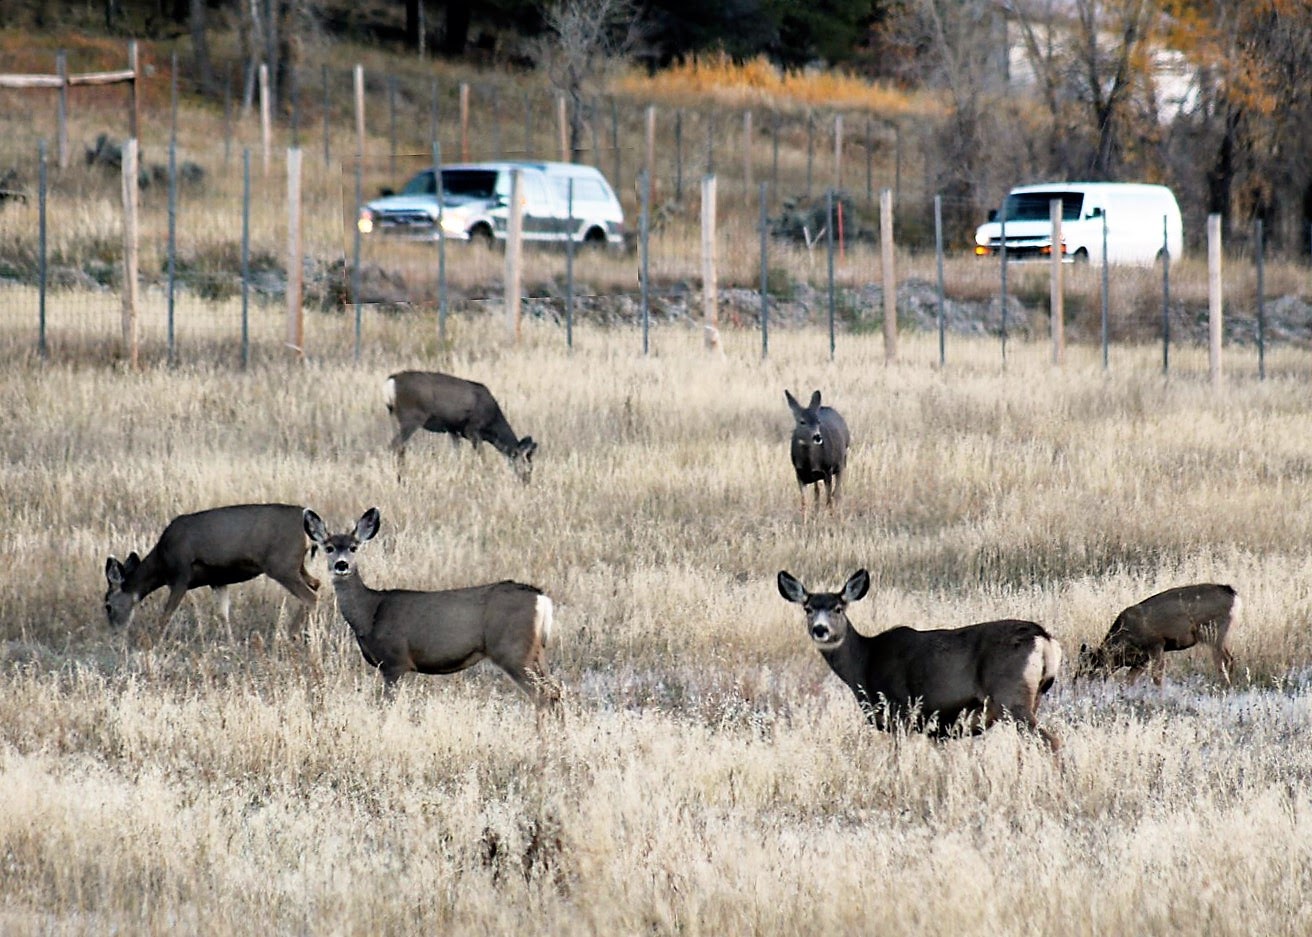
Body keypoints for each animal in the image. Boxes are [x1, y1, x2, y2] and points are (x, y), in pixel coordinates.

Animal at [101, 501, 318, 637]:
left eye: (108, 605)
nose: (114, 633)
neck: (162, 562)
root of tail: (306, 517)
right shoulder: (218, 581)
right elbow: (223, 615)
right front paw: (231, 646)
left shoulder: (181, 576)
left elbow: (166, 615)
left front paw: (153, 645)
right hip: (297, 565)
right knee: (317, 584)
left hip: (282, 565)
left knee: (310, 597)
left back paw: (290, 635)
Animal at [300, 503, 561, 708]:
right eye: (328, 548)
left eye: (354, 547)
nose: (342, 565)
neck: (370, 612)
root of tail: (541, 599)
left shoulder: (395, 661)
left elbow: (387, 705)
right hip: (536, 651)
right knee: (556, 692)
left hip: (512, 649)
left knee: (543, 695)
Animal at [383, 367, 537, 482]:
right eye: (529, 466)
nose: (526, 481)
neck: (491, 425)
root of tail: (391, 382)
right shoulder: (472, 429)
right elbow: (482, 455)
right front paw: (485, 476)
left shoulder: (453, 429)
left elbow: (457, 455)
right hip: (412, 417)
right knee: (395, 445)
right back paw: (398, 477)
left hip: (394, 416)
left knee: (399, 447)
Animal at [776, 561, 1065, 750]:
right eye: (808, 609)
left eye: (838, 608)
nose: (820, 629)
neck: (865, 663)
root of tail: (1043, 637)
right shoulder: (938, 730)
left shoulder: (900, 712)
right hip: (1032, 697)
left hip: (1010, 696)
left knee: (1052, 741)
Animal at [1075, 580, 1238, 682]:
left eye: (1092, 667)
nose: (1076, 681)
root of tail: (1232, 593)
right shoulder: (1141, 660)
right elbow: (1128, 681)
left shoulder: (1156, 645)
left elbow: (1157, 677)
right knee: (1229, 659)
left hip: (1213, 632)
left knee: (1223, 661)